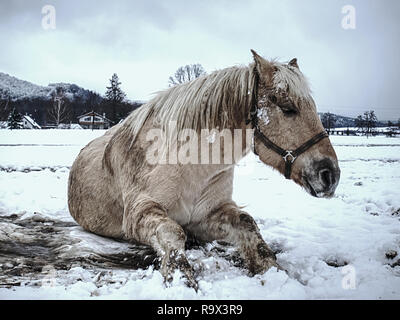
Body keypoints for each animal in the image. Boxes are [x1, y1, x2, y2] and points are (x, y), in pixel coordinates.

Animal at [69, 50, 340, 290]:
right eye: (287, 108)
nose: (330, 175)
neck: (190, 167)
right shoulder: (140, 211)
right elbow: (171, 232)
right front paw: (181, 278)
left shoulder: (206, 217)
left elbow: (248, 225)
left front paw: (273, 271)